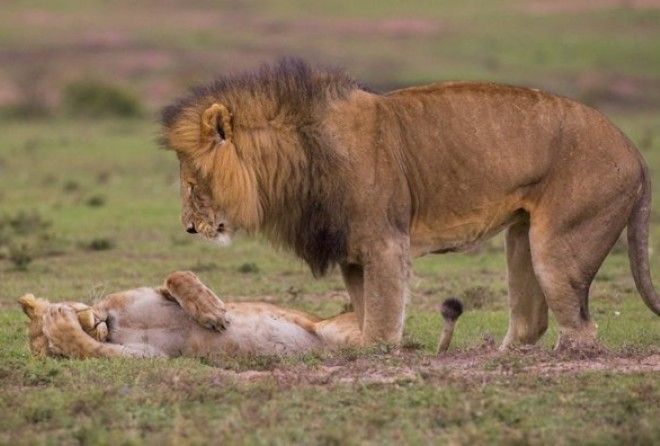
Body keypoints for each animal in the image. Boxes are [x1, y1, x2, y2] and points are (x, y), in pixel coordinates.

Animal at [161, 58, 660, 352]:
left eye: (192, 184)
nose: (188, 228)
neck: (298, 155)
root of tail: (635, 152)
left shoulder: (384, 242)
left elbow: (382, 318)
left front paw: (375, 352)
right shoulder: (352, 254)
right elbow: (366, 311)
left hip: (560, 245)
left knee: (583, 330)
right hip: (522, 237)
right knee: (530, 321)